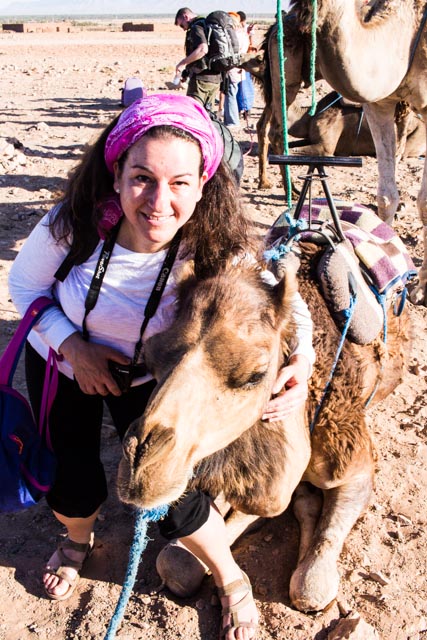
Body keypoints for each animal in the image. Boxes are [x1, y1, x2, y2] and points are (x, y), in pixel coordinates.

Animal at [118, 242, 411, 613]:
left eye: (254, 375)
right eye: (151, 359)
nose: (140, 465)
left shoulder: (351, 457)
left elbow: (311, 586)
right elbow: (178, 562)